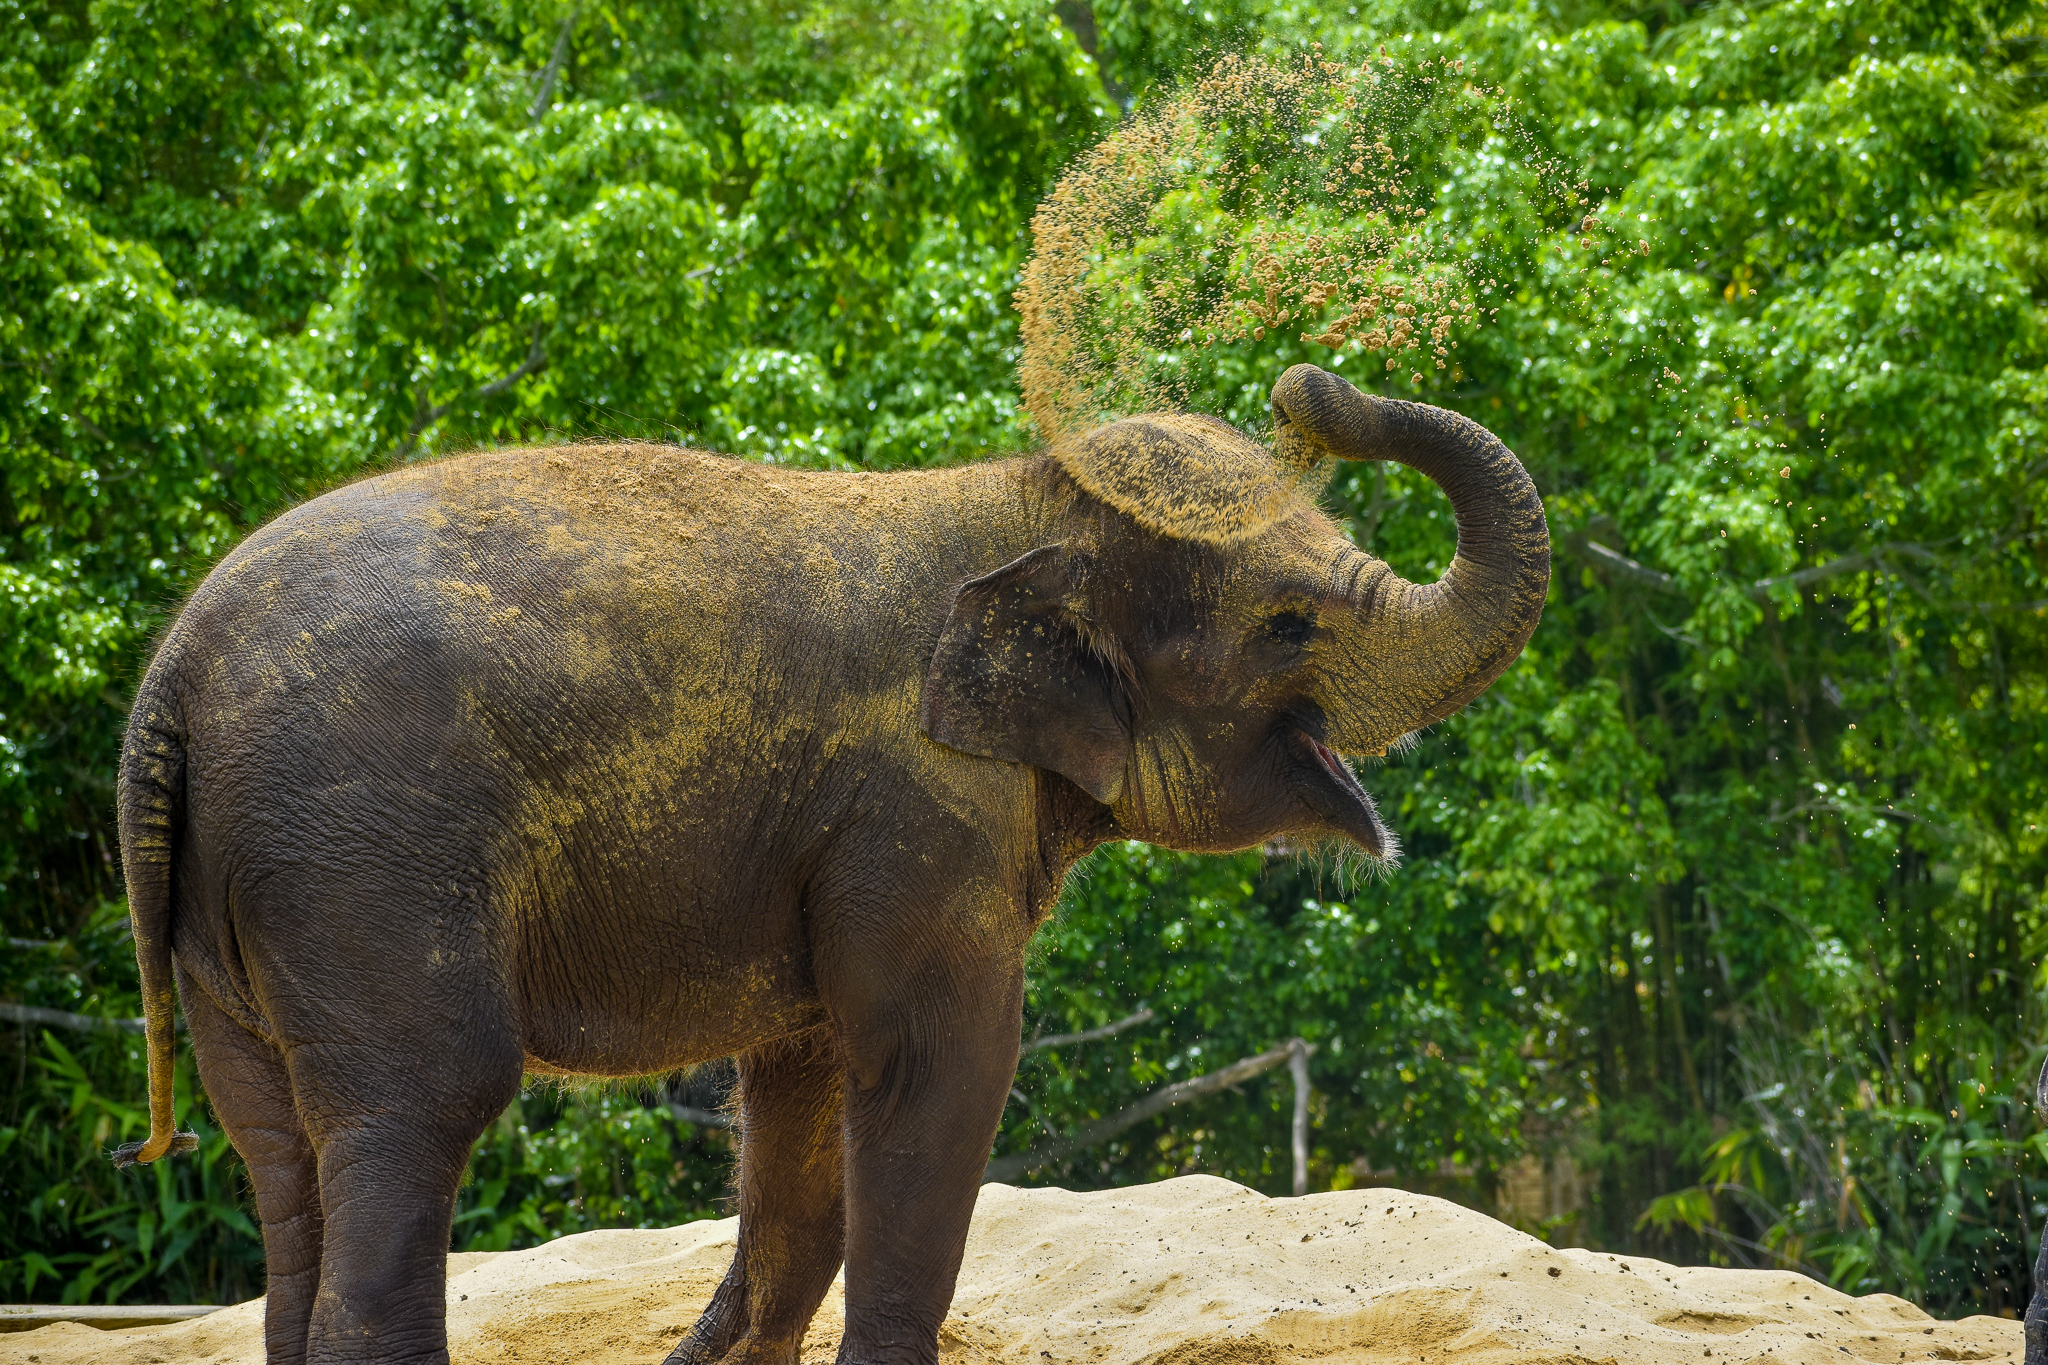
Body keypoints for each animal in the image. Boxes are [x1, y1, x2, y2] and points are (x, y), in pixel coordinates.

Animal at [113, 363, 1548, 1365]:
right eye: (1288, 623)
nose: (1308, 388)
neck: (1012, 494)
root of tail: (168, 689)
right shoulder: (915, 806)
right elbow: (936, 1062)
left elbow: (801, 1092)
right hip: (362, 862)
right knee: (423, 1102)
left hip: (236, 913)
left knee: (277, 1149)